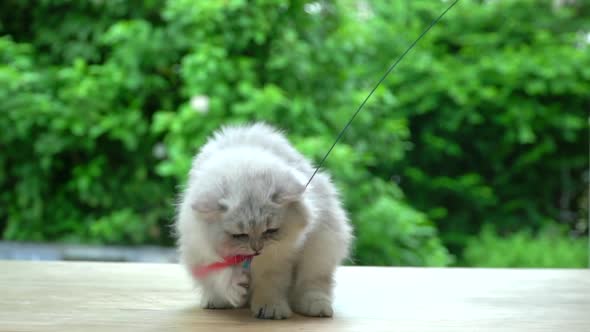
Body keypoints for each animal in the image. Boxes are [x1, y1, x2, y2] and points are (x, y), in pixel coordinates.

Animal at [175, 122, 352, 320]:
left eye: (270, 231)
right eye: (239, 235)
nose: (257, 249)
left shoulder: (278, 259)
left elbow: (270, 286)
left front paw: (270, 310)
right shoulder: (201, 252)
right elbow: (222, 276)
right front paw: (235, 288)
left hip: (322, 249)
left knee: (313, 286)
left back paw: (317, 308)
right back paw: (217, 302)